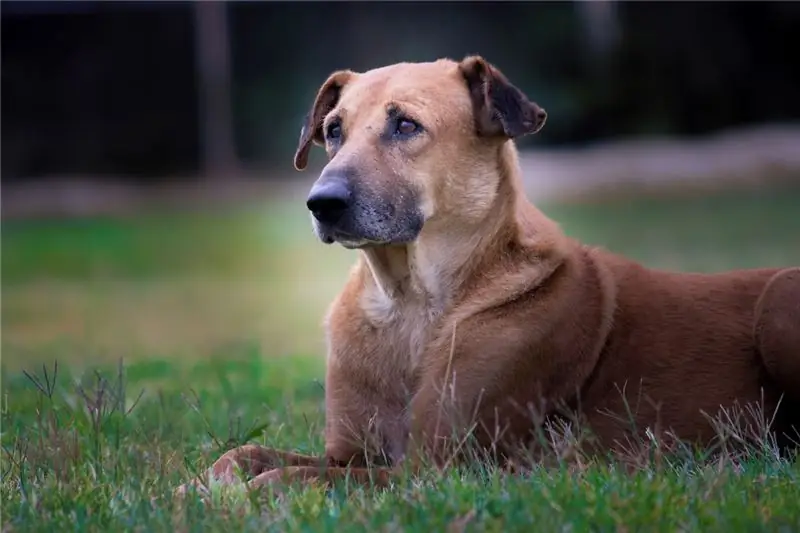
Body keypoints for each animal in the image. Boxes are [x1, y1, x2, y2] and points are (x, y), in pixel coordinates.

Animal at [180, 57, 800, 494]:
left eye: (406, 125)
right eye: (333, 129)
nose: (321, 203)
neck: (409, 303)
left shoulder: (434, 468)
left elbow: (292, 477)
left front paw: (242, 496)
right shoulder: (352, 452)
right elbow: (246, 456)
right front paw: (200, 485)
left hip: (778, 300)